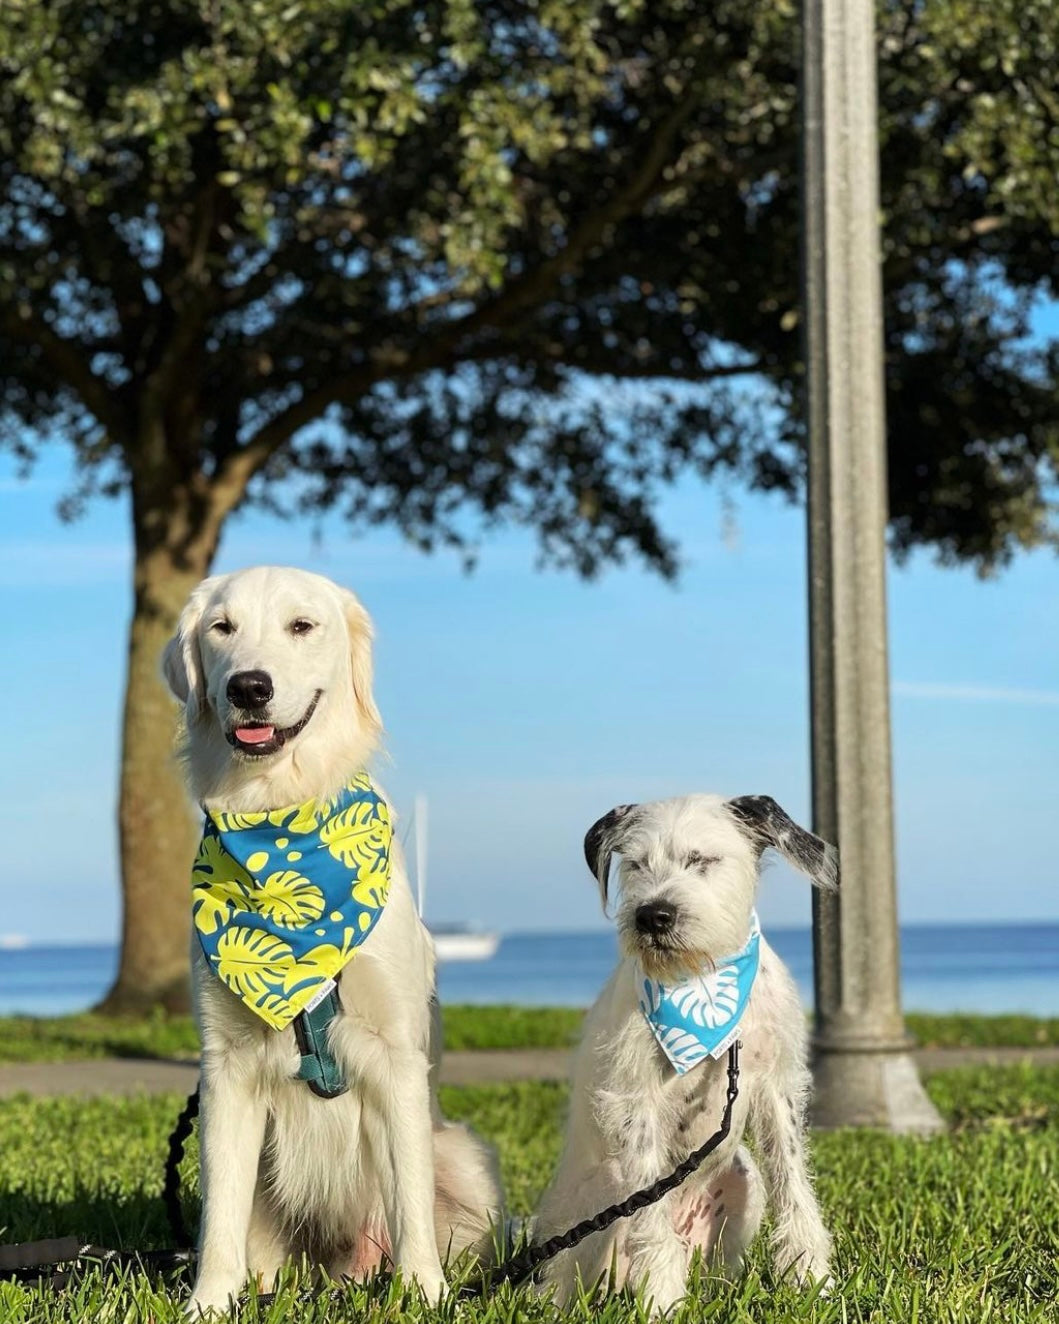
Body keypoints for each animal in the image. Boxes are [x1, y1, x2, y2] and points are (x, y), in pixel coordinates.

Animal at [161, 566, 500, 1313]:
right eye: (221, 628)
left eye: (302, 626)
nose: (248, 687)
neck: (280, 826)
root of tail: (337, 1271)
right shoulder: (225, 1068)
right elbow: (218, 1215)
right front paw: (208, 1303)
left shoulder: (396, 1056)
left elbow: (408, 1203)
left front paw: (423, 1293)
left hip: (466, 1163)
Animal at [537, 794, 836, 1313]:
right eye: (636, 864)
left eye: (701, 860)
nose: (652, 915)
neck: (703, 978)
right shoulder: (635, 1103)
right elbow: (649, 1216)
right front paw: (661, 1299)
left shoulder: (776, 1086)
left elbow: (794, 1182)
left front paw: (810, 1277)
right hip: (601, 1197)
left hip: (743, 1179)